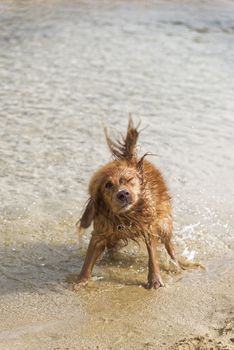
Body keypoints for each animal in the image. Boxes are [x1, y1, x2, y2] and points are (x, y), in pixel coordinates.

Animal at [76, 118, 178, 290]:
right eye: (108, 185)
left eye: (129, 180)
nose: (123, 194)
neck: (126, 216)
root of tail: (131, 159)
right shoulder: (100, 233)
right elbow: (88, 261)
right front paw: (80, 281)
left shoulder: (149, 227)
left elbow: (153, 257)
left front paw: (155, 280)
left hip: (164, 222)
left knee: (169, 243)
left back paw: (177, 264)